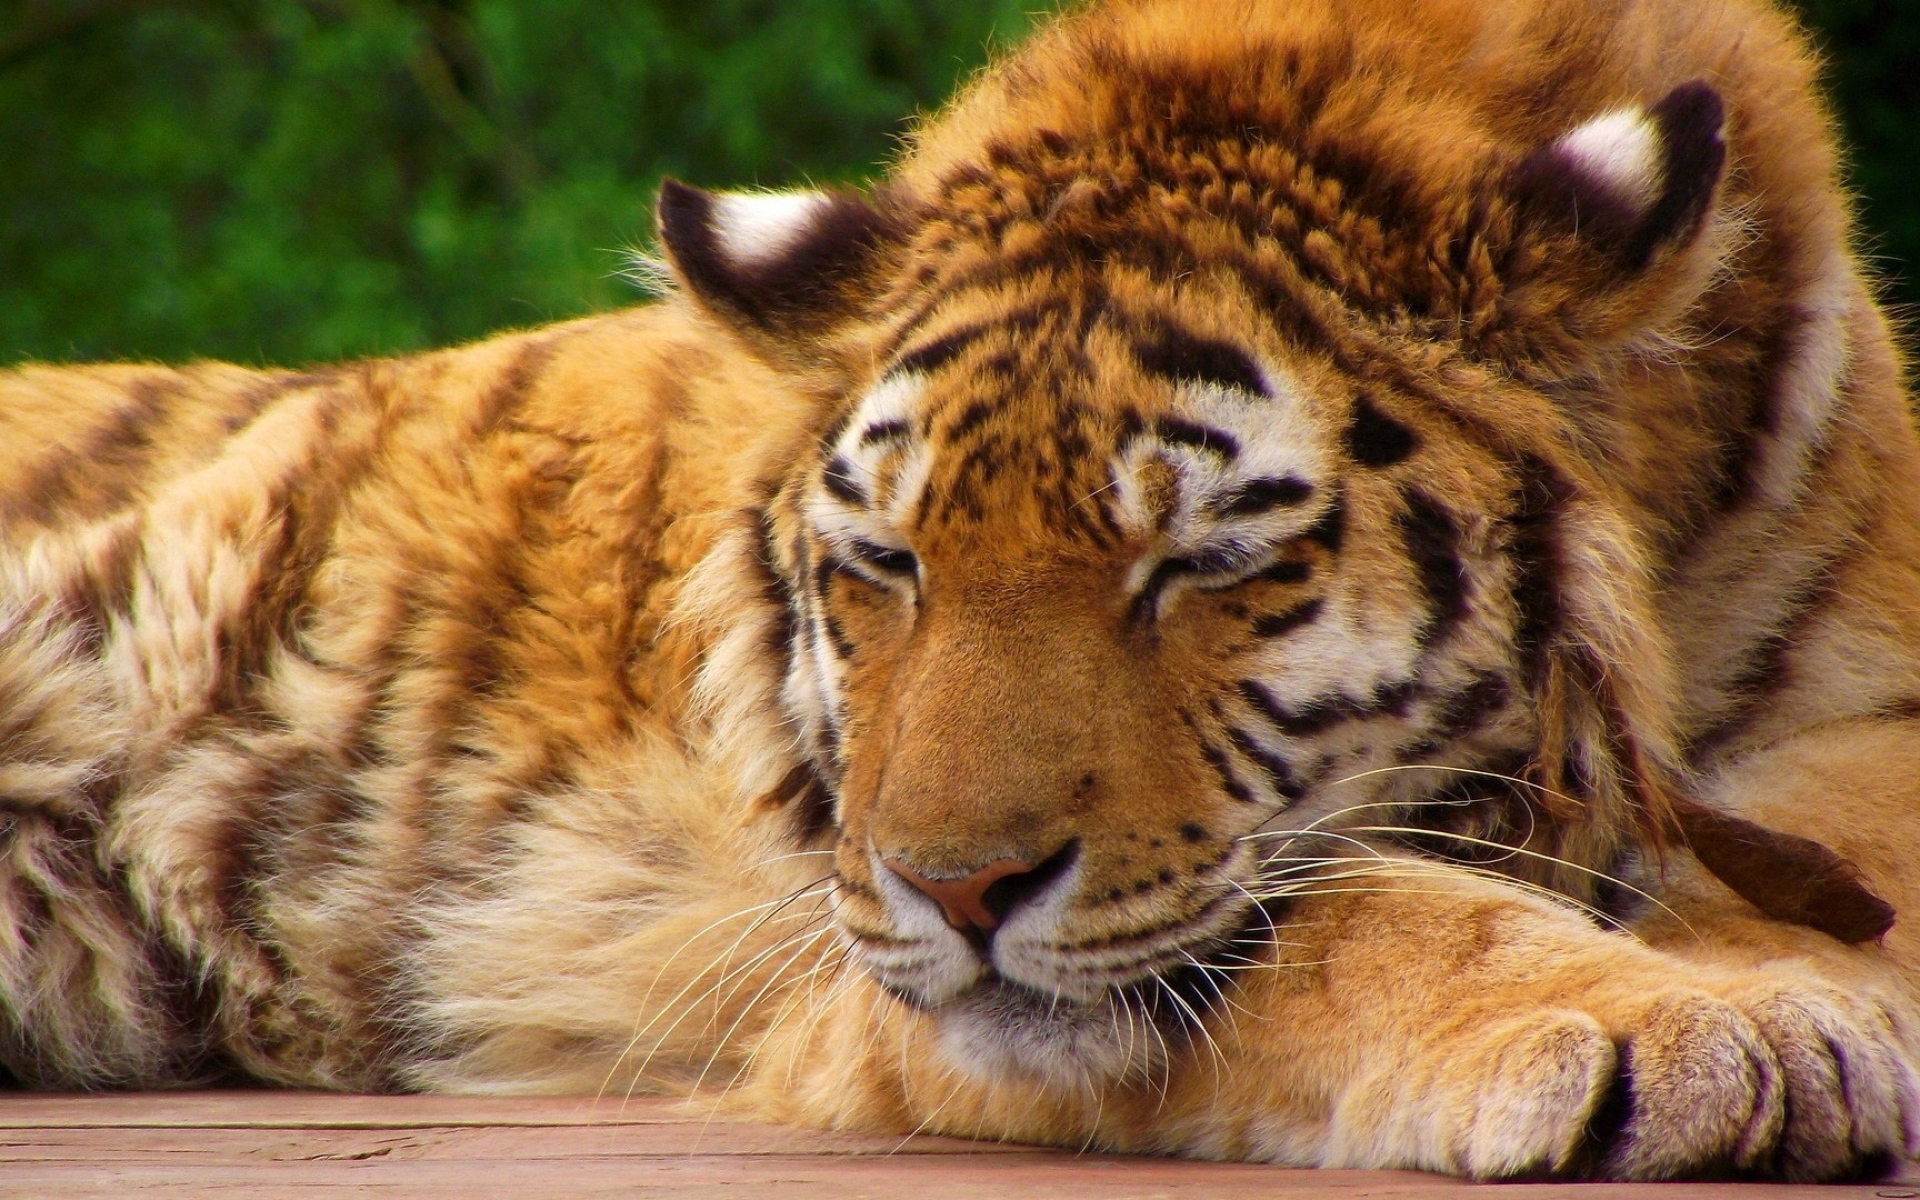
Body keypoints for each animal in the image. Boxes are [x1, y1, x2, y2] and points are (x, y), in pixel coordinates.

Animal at [2, 0, 1919, 1182]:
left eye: (1202, 561)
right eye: (891, 566)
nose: (955, 890)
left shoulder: (1865, 707)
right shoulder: (863, 967)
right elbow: (1354, 915)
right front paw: (1702, 1028)